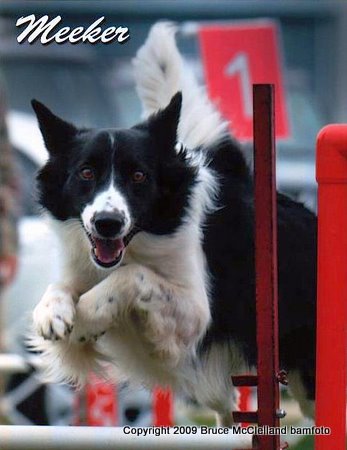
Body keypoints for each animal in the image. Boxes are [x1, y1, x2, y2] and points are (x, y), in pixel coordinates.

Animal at [31, 23, 316, 426]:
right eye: (85, 173)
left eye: (138, 176)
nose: (107, 223)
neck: (139, 241)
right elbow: (61, 290)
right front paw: (52, 312)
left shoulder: (194, 313)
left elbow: (133, 277)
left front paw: (86, 317)